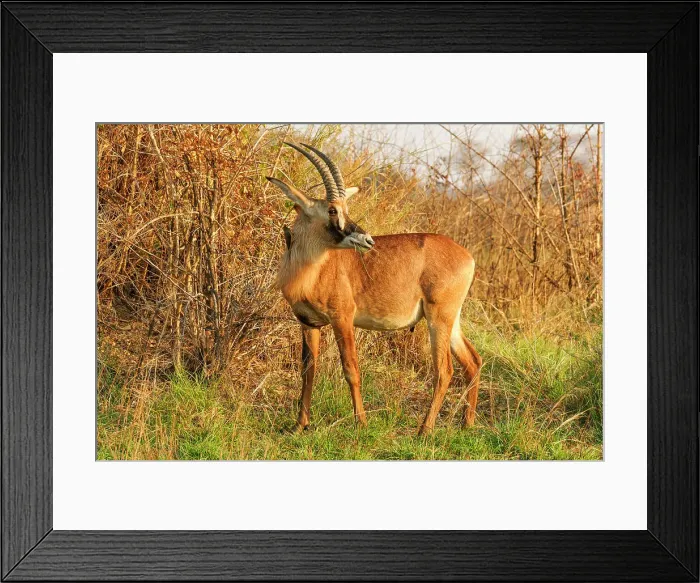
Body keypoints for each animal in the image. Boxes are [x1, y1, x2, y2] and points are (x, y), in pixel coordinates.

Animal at [267, 143, 482, 435]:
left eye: (344, 207)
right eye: (332, 210)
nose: (367, 240)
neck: (314, 267)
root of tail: (467, 256)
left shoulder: (343, 319)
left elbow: (351, 369)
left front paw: (361, 422)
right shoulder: (308, 323)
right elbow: (307, 371)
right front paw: (300, 425)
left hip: (439, 318)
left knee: (444, 370)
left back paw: (424, 430)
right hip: (452, 321)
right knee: (472, 361)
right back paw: (466, 423)